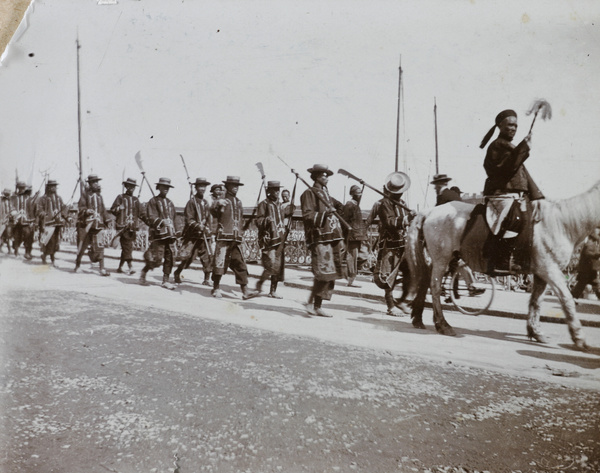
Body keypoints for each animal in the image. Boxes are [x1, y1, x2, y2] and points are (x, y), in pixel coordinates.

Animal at [404, 179, 600, 348]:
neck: (561, 222)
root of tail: (430, 211)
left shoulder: (541, 273)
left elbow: (536, 301)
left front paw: (535, 331)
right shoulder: (550, 270)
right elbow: (566, 299)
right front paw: (578, 337)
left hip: (445, 258)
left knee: (425, 281)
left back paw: (418, 318)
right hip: (441, 258)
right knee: (435, 287)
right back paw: (443, 324)